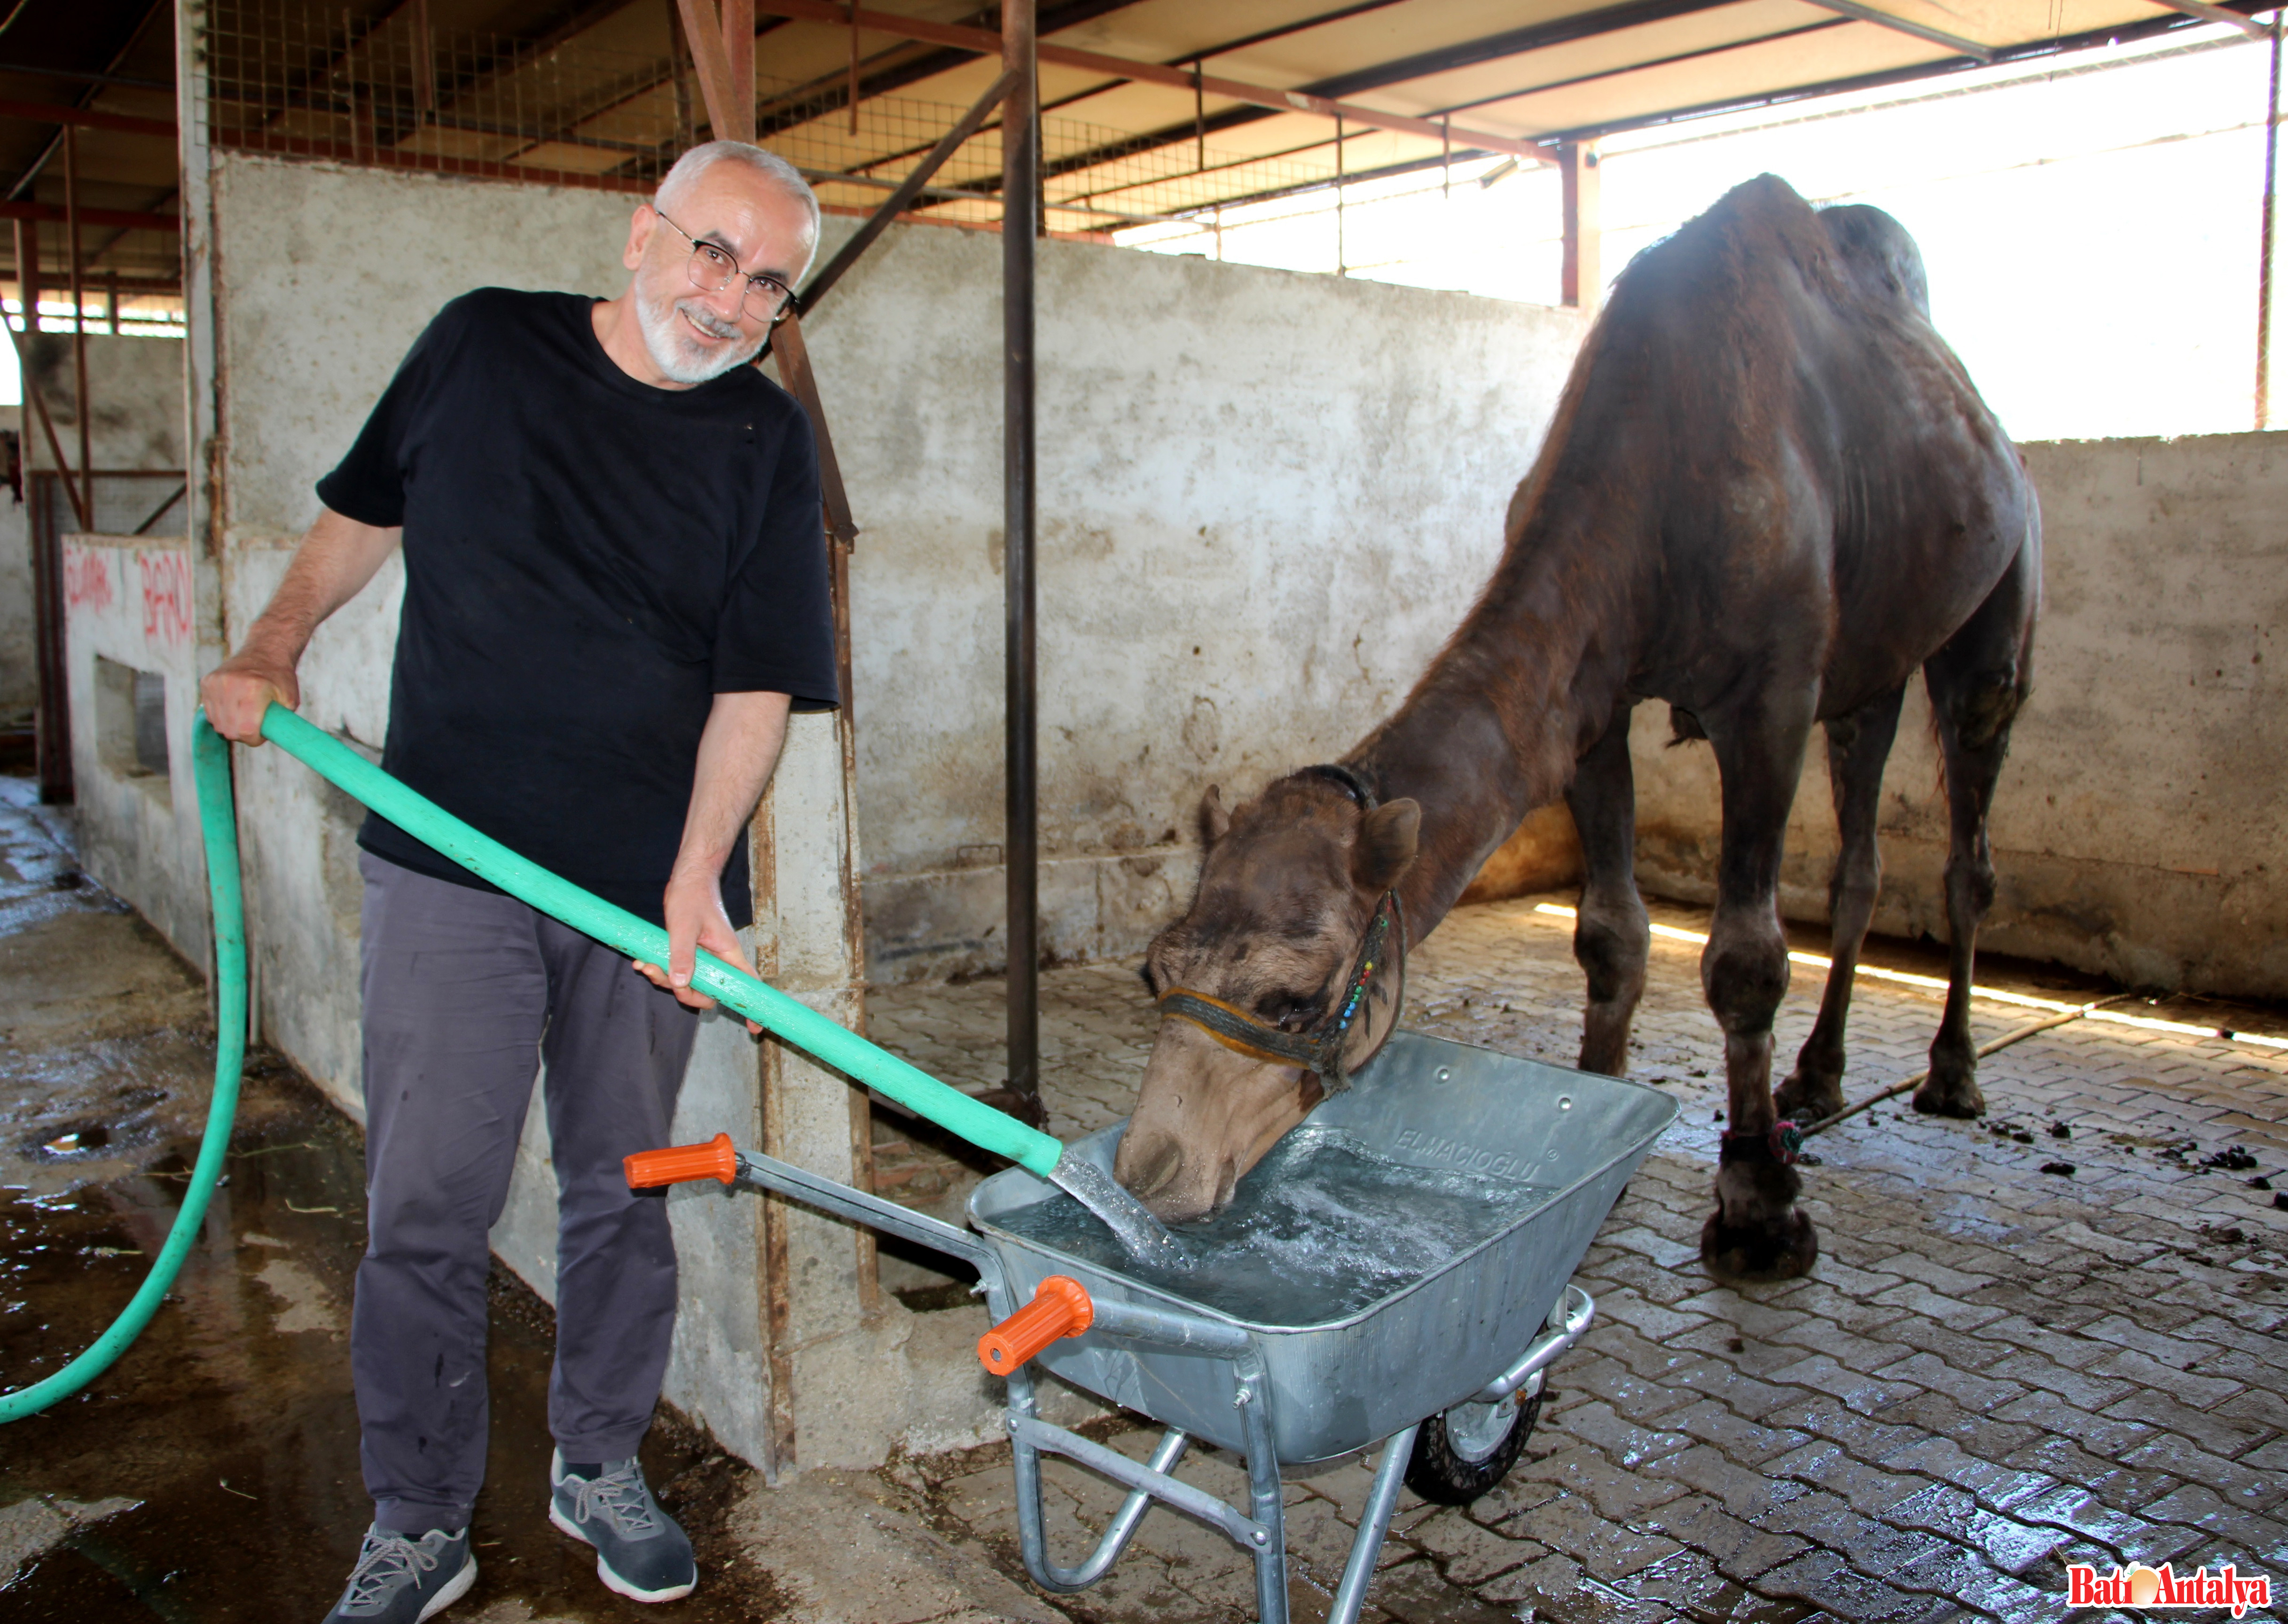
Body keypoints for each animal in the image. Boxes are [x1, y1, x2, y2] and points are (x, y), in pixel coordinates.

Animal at [1107, 175, 2041, 1280]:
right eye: (1155, 969)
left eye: (1293, 999)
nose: (1150, 1170)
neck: (1659, 490)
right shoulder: (1594, 706)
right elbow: (1609, 935)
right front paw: (1599, 1140)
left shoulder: (1768, 697)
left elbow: (1745, 959)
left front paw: (1759, 1205)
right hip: (1872, 662)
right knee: (1861, 850)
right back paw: (1817, 1078)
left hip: (1999, 597)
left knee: (1969, 831)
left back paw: (1950, 1073)